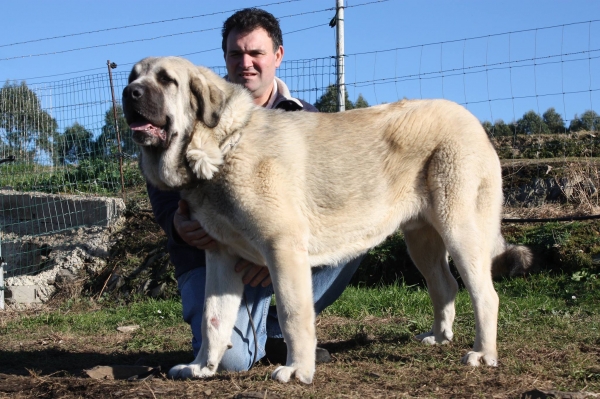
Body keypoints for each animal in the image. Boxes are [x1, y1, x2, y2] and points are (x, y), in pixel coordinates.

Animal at [122, 56, 528, 384]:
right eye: (133, 76)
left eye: (166, 80)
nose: (129, 93)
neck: (223, 145)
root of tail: (473, 121)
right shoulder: (221, 257)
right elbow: (213, 319)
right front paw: (202, 367)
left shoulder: (283, 248)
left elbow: (293, 313)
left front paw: (298, 370)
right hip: (422, 239)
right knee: (444, 285)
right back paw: (439, 338)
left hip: (460, 230)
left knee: (485, 294)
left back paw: (483, 354)